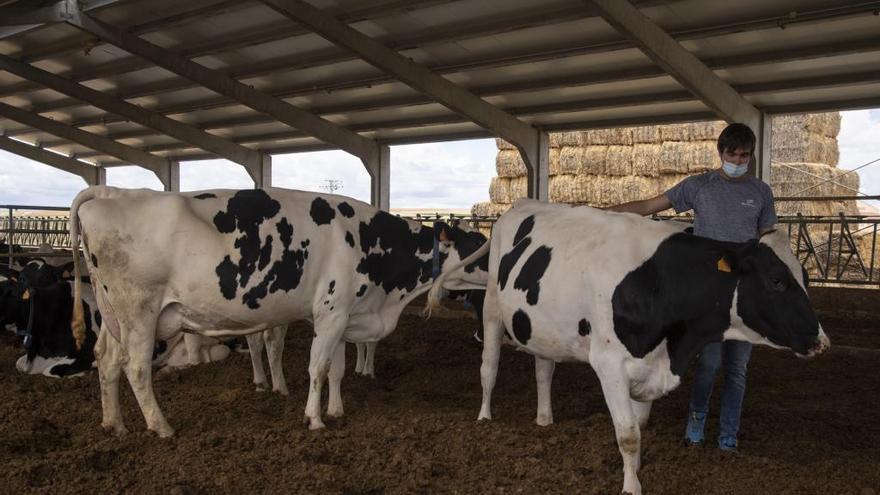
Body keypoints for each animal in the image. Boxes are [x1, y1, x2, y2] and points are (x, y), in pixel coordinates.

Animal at [69, 187, 488, 438]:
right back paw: (161, 427)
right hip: (140, 311)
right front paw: (314, 419)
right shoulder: (331, 314)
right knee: (136, 368)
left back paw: (114, 424)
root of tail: (112, 193)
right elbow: (317, 368)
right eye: (476, 244)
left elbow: (335, 369)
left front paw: (336, 411)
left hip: (114, 315)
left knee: (106, 360)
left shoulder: (339, 315)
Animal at [430, 201, 828, 495]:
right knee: (489, 367)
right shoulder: (609, 364)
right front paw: (631, 487)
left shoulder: (650, 364)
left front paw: (635, 472)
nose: (821, 341)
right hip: (492, 309)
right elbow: (627, 435)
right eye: (776, 280)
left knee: (544, 370)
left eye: (806, 278)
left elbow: (639, 427)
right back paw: (485, 417)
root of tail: (518, 205)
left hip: (544, 328)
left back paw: (545, 419)